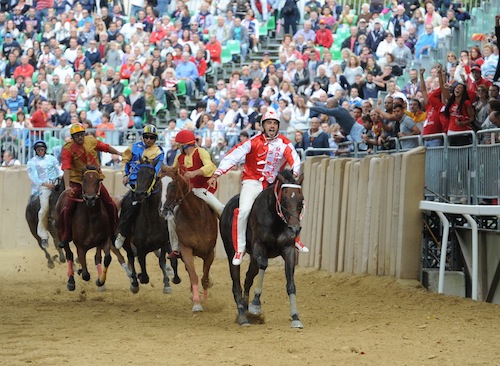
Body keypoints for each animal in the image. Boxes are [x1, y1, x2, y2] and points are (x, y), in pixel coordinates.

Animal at [119, 157, 181, 294]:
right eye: (138, 174)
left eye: (151, 175)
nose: (139, 194)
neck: (151, 220)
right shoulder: (140, 247)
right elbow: (144, 272)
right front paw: (139, 277)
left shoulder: (165, 242)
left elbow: (166, 261)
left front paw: (169, 283)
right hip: (126, 243)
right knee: (130, 257)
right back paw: (134, 283)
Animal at [161, 167, 218, 312]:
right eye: (159, 184)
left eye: (173, 184)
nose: (164, 209)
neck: (195, 216)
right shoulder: (186, 250)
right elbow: (193, 276)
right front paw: (197, 303)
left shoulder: (210, 252)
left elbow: (205, 278)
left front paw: (206, 299)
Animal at [220, 170, 304, 328]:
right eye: (284, 199)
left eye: (301, 199)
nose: (295, 229)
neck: (275, 219)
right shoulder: (260, 247)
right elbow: (264, 265)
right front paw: (256, 305)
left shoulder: (288, 250)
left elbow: (291, 283)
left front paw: (296, 317)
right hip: (232, 252)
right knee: (236, 284)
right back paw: (243, 317)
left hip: (253, 258)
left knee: (248, 278)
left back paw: (245, 308)